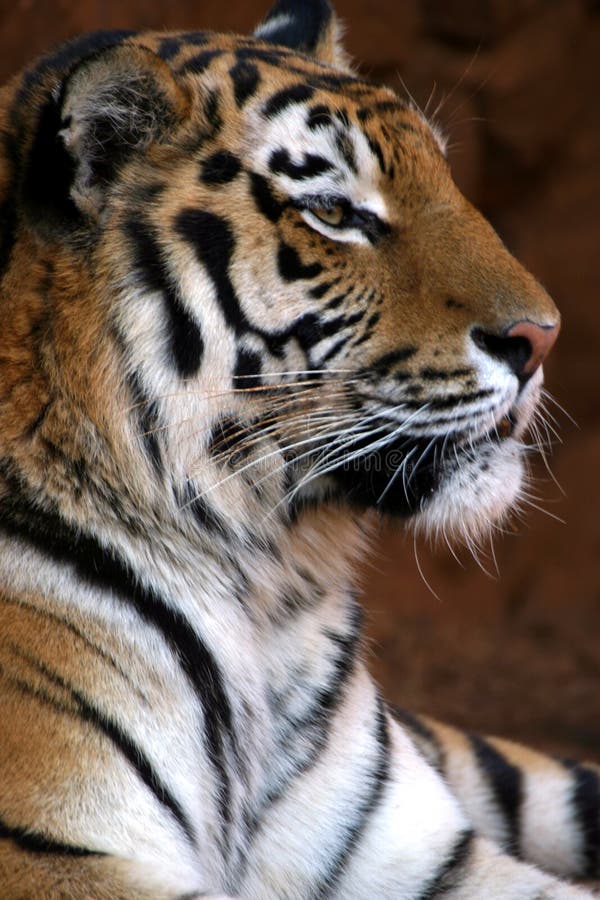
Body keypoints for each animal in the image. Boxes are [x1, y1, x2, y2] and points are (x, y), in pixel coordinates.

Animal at [0, 0, 596, 896]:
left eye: (446, 180)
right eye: (336, 214)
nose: (542, 338)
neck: (265, 588)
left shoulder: (425, 854)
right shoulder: (50, 855)